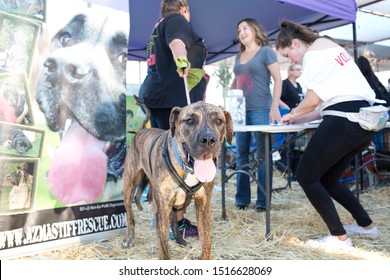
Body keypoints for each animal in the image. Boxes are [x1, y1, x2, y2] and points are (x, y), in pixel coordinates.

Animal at [122, 99, 232, 260]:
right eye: (190, 120)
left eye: (219, 121)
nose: (209, 139)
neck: (187, 167)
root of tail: (141, 131)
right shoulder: (161, 208)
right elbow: (164, 247)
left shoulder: (204, 205)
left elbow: (206, 241)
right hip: (130, 184)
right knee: (130, 214)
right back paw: (129, 238)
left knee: (174, 220)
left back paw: (181, 240)